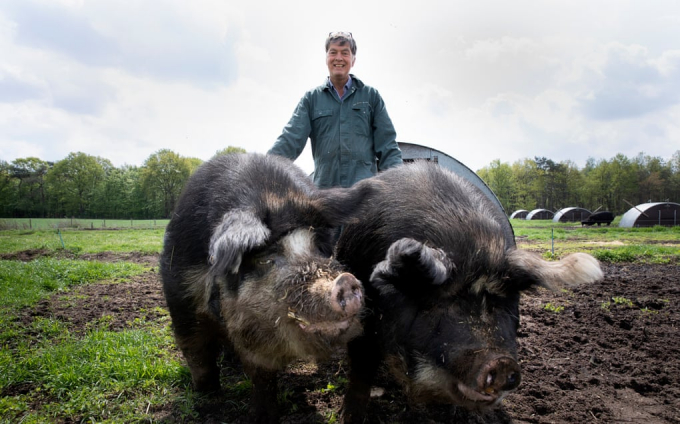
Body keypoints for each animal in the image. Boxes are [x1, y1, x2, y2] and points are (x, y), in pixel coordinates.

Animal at [161, 154, 370, 422]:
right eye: (265, 259)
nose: (346, 281)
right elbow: (197, 354)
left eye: (319, 247)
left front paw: (263, 416)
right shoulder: (181, 295)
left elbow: (262, 375)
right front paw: (208, 397)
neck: (271, 196)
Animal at [334, 161, 600, 422]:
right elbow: (361, 367)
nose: (501, 363)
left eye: (504, 303)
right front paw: (349, 417)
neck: (475, 250)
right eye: (442, 304)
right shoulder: (363, 317)